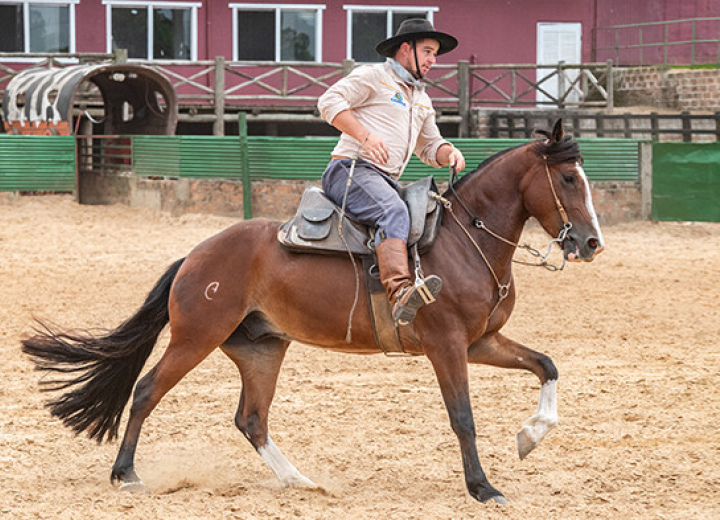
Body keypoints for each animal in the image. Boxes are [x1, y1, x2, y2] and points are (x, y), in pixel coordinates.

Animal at [21, 120, 600, 506]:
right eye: (570, 179)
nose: (591, 243)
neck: (464, 241)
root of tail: (196, 255)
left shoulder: (482, 342)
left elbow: (547, 366)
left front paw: (531, 435)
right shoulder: (447, 347)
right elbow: (463, 418)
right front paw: (482, 487)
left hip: (261, 348)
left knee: (251, 418)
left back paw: (298, 479)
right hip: (195, 338)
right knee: (146, 391)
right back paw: (127, 474)